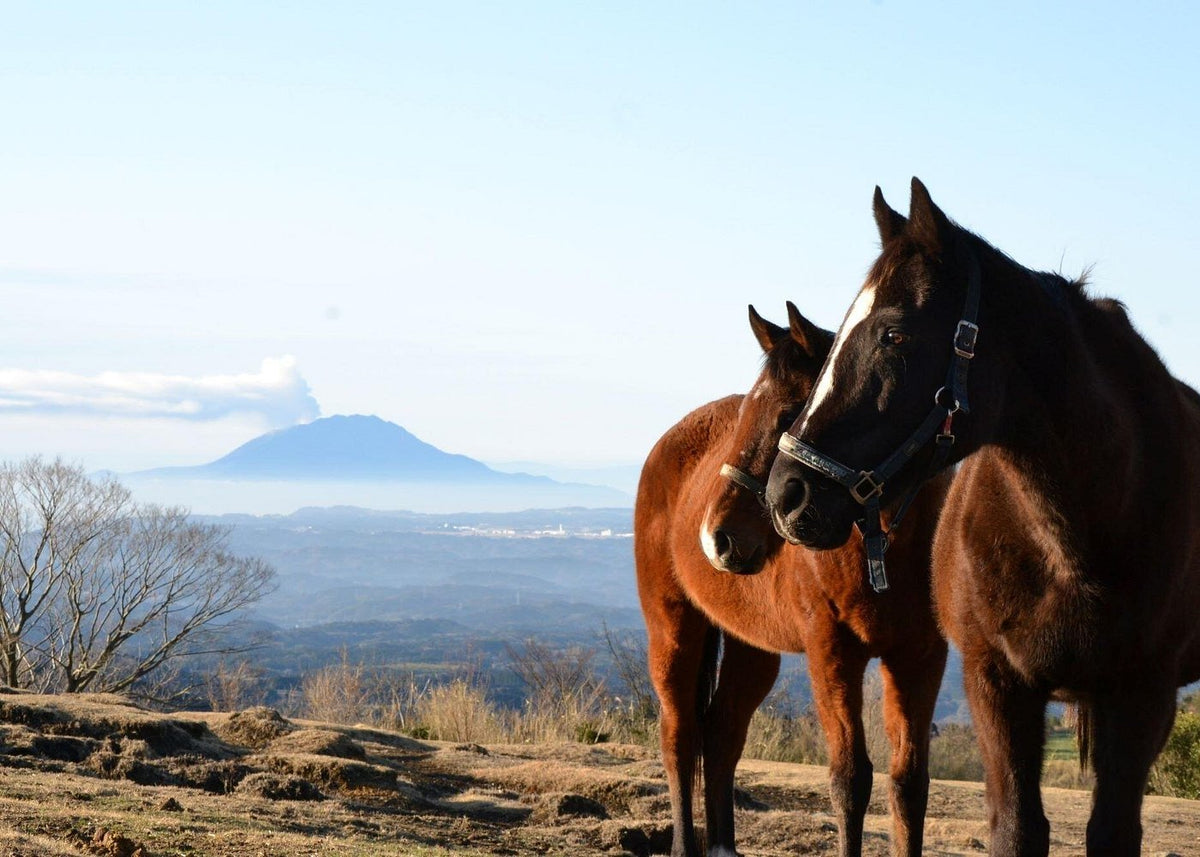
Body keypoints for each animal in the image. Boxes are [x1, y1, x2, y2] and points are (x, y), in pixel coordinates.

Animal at [635, 303, 949, 857]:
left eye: (788, 416)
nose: (717, 538)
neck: (883, 544)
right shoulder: (831, 653)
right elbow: (850, 780)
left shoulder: (919, 658)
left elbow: (909, 785)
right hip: (673, 630)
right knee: (679, 735)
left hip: (751, 648)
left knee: (721, 733)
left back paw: (723, 846)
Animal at [765, 178, 1200, 856]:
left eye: (893, 335)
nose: (787, 493)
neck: (1073, 537)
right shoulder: (995, 684)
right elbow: (1017, 829)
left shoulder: (1144, 693)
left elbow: (1112, 831)